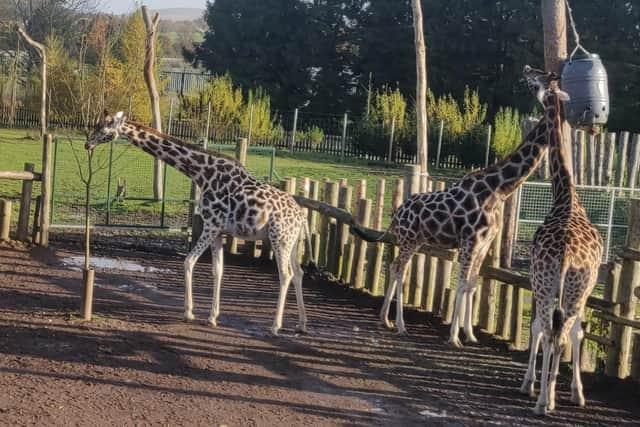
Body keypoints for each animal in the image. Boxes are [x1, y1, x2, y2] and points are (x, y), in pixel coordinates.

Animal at [85, 111, 316, 338]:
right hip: (291, 242)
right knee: (298, 273)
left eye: (105, 125)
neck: (202, 173)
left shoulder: (211, 224)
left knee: (285, 274)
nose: (88, 143)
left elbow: (189, 261)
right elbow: (217, 271)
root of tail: (301, 216)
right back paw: (302, 324)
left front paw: (188, 313)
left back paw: (275, 326)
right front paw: (212, 317)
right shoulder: (219, 231)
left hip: (279, 239)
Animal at [356, 66, 560, 348]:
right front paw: (454, 337)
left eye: (538, 76)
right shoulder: (470, 241)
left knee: (396, 267)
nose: (527, 69)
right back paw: (400, 325)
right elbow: (462, 283)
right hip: (409, 239)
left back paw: (385, 319)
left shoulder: (483, 243)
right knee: (399, 269)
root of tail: (396, 214)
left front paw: (470, 334)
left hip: (415, 239)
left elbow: (472, 283)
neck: (499, 189)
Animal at [516, 68, 604, 416]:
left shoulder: (537, 282)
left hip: (551, 284)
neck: (566, 195)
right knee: (564, 333)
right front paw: (575, 393)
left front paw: (531, 385)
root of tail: (566, 256)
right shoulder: (578, 291)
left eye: (534, 82)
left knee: (554, 332)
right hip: (573, 290)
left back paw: (544, 401)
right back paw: (549, 397)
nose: (527, 71)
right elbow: (575, 332)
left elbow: (537, 328)